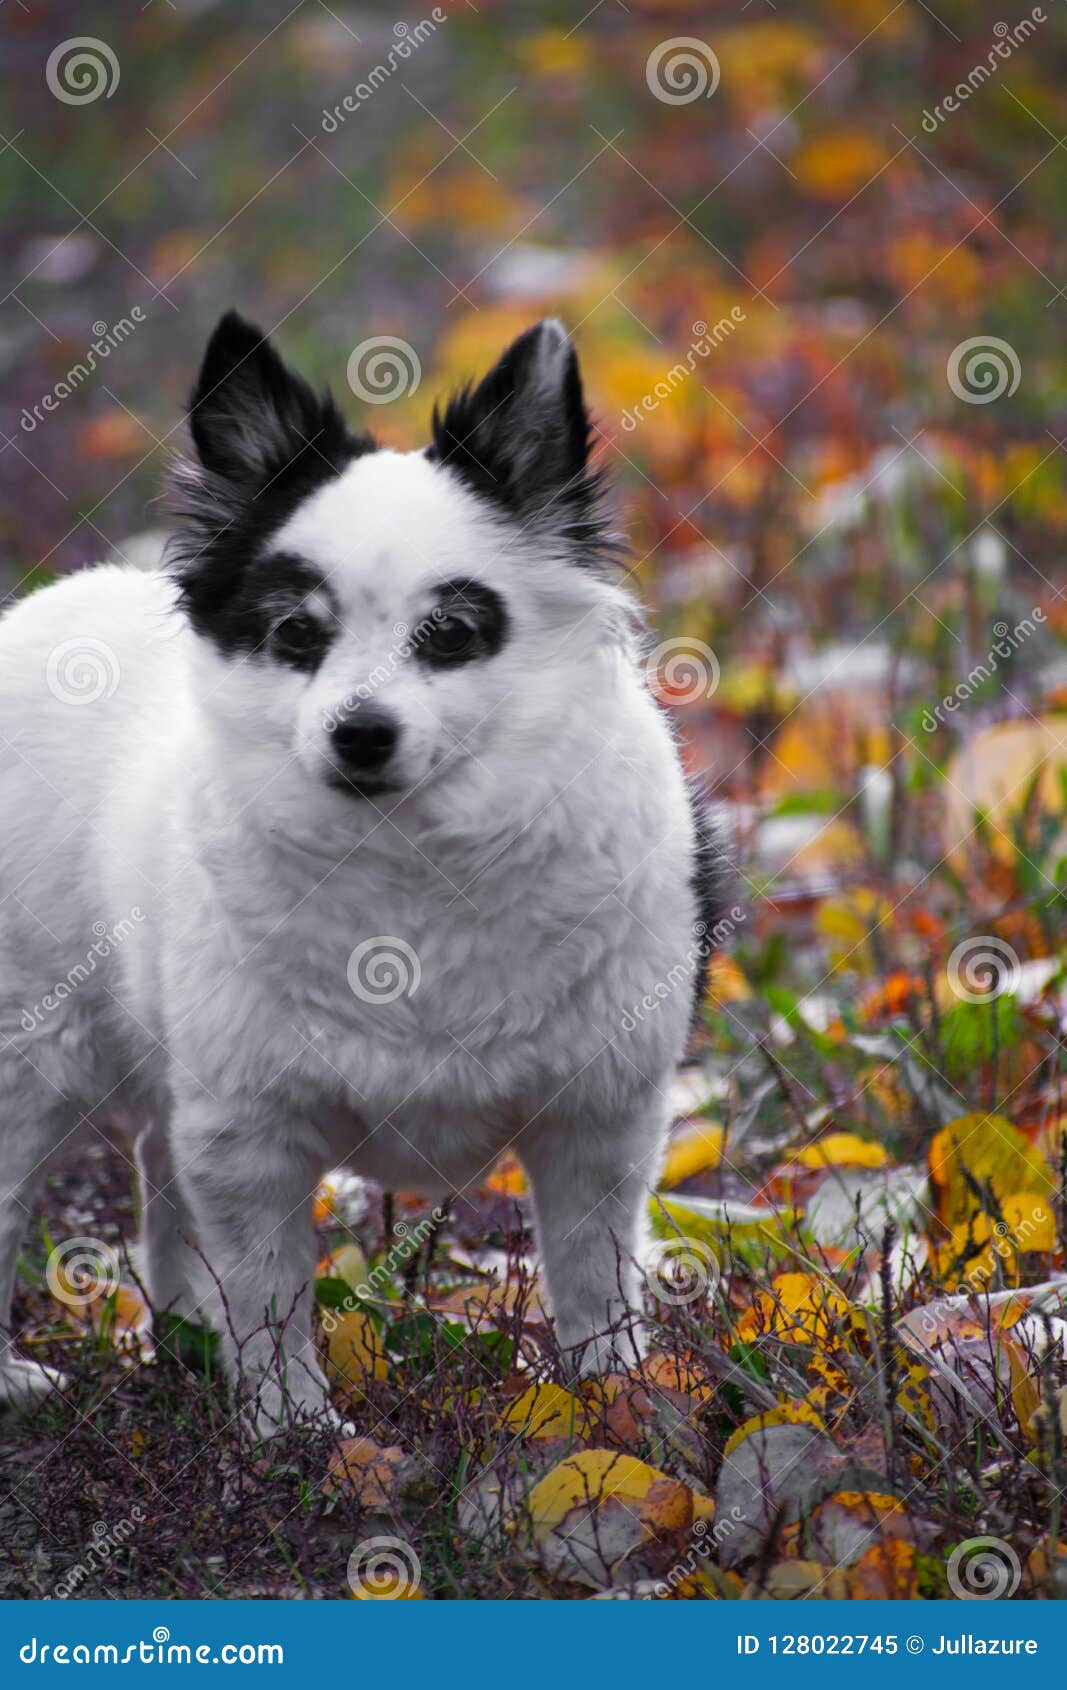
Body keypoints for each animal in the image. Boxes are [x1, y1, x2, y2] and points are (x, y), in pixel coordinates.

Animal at [0, 310, 727, 1433]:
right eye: (297, 633)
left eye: (450, 635)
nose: (361, 731)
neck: (409, 860)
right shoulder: (250, 1138)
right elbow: (270, 1294)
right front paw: (294, 1431)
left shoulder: (597, 1121)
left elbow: (591, 1274)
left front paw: (614, 1399)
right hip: (29, 1062)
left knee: (160, 1173)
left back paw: (182, 1337)